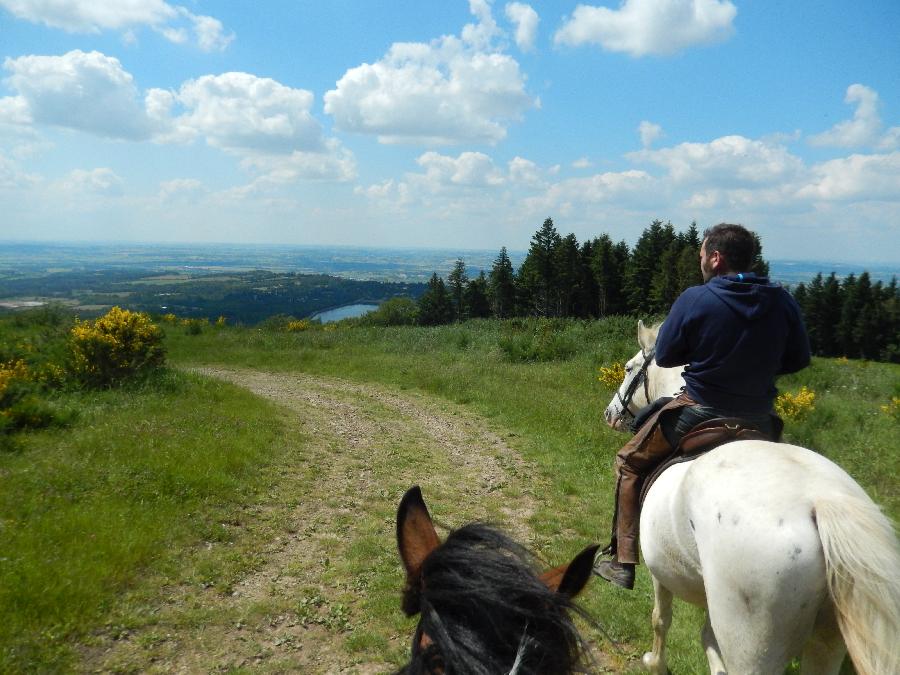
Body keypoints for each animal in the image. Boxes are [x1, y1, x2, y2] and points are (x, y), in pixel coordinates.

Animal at [604, 320, 900, 675]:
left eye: (629, 368)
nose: (610, 413)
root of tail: (823, 503)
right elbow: (707, 636)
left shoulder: (660, 571)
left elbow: (661, 618)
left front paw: (655, 662)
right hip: (827, 642)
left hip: (754, 639)